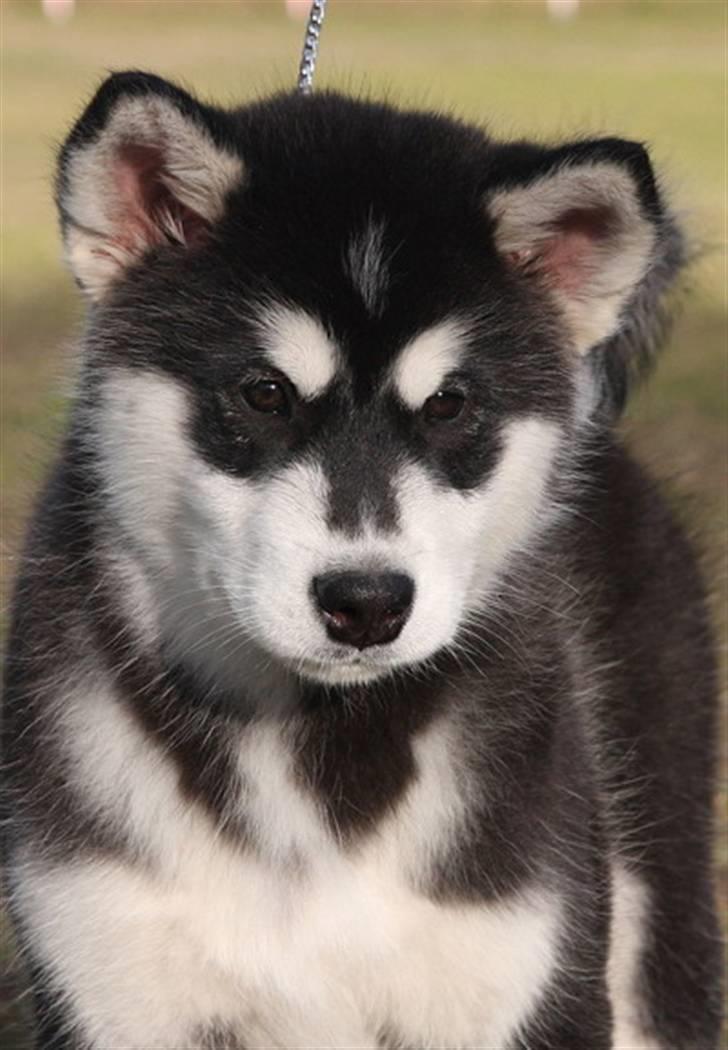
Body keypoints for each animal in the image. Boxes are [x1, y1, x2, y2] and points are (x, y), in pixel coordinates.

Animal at [4, 71, 722, 1041]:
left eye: (451, 404)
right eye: (264, 393)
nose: (367, 602)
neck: (309, 746)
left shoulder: (523, 964)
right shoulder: (112, 973)